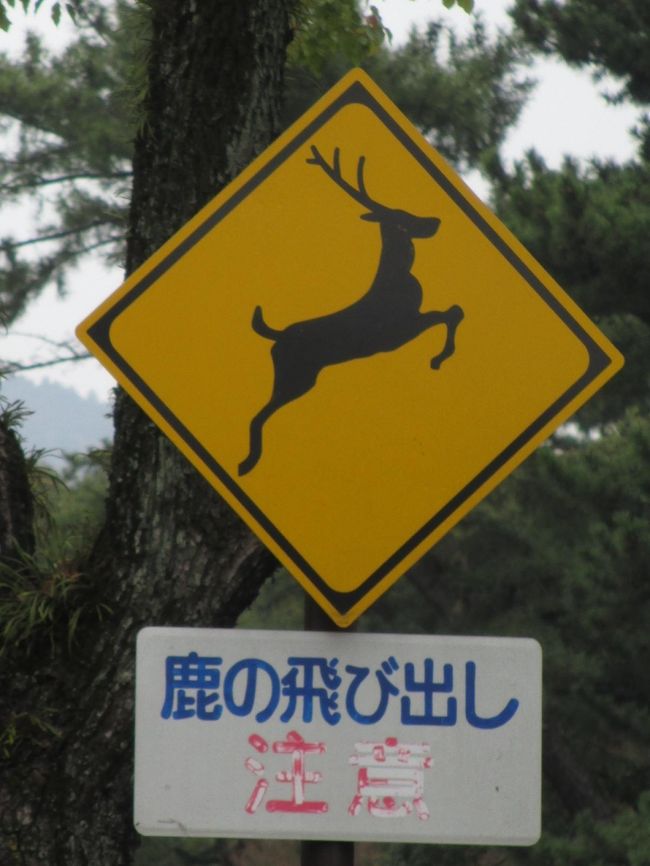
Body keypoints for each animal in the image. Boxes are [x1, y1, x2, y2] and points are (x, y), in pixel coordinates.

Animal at [238, 145, 464, 476]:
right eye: (402, 217)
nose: (435, 221)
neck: (397, 275)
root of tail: (276, 336)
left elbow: (451, 312)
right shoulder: (398, 330)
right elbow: (450, 313)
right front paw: (438, 358)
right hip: (295, 376)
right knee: (259, 415)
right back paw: (247, 463)